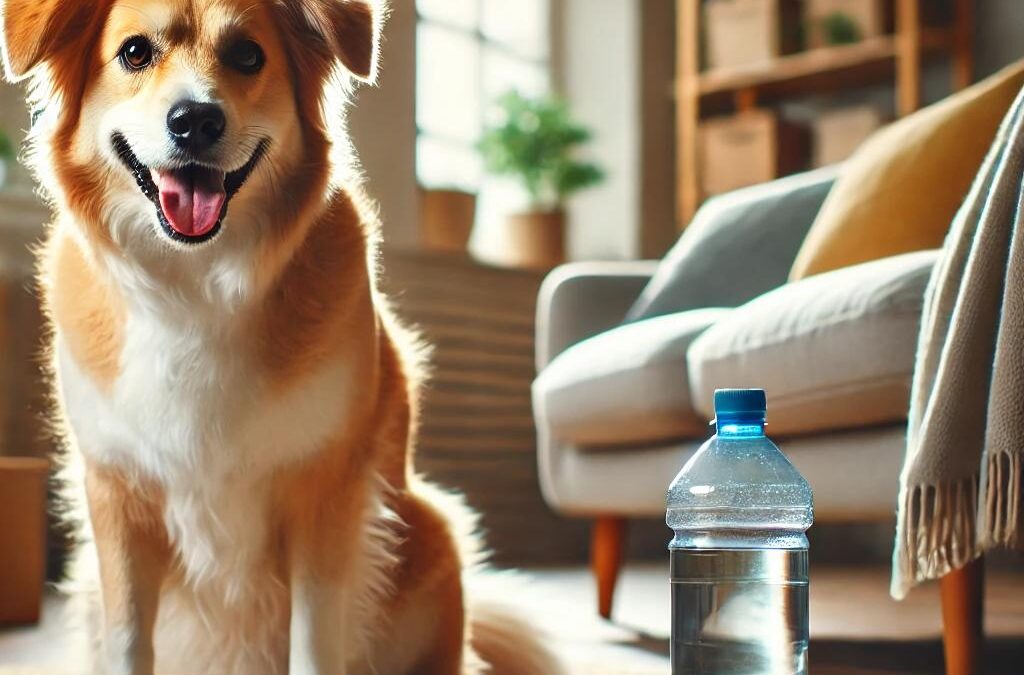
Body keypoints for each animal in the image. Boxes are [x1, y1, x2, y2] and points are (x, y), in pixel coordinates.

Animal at [0, 1, 565, 675]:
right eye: (134, 52)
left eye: (248, 55)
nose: (195, 121)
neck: (198, 281)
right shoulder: (117, 497)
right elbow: (129, 642)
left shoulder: (325, 494)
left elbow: (314, 645)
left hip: (430, 531)